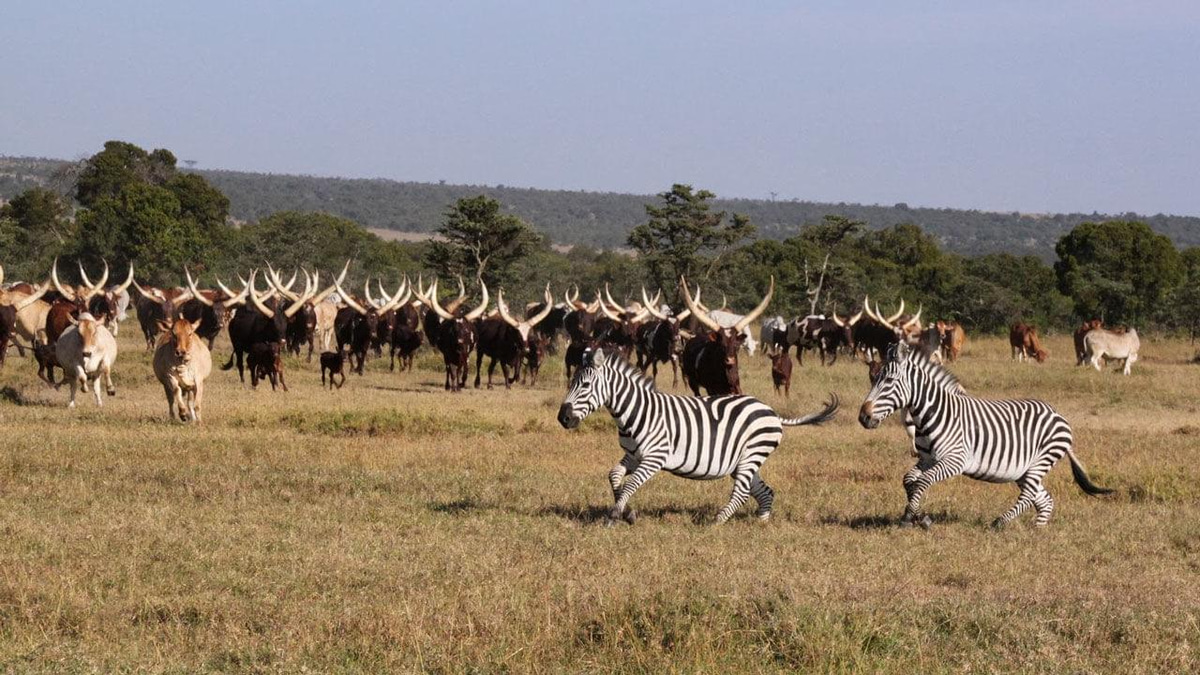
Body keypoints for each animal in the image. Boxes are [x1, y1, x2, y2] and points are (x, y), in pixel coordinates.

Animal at [556, 345, 840, 526]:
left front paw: (615, 517)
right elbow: (614, 475)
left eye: (585, 385)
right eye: (572, 383)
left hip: (752, 454)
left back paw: (716, 522)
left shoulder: (655, 457)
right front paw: (626, 512)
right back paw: (761, 524)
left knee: (741, 492)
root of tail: (772, 411)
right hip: (745, 461)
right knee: (764, 491)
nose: (563, 418)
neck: (637, 411)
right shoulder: (634, 455)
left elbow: (630, 484)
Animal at [859, 343, 1108, 528]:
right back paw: (1037, 529)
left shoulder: (956, 460)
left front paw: (910, 518)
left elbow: (922, 481)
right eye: (873, 379)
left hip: (1041, 460)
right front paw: (919, 515)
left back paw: (1000, 522)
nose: (863, 417)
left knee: (1029, 495)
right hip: (1025, 469)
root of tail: (1057, 414)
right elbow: (909, 480)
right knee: (1044, 499)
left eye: (889, 381)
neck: (933, 413)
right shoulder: (926, 459)